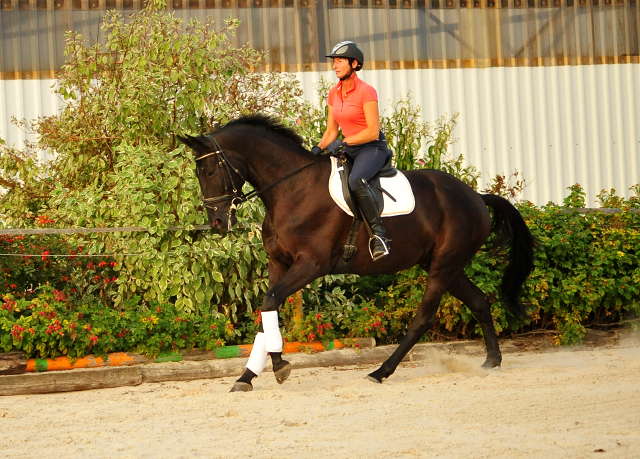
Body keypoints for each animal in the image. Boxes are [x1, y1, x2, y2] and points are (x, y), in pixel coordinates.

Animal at [178, 115, 536, 392]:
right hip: (445, 265)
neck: (291, 188)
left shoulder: (311, 264)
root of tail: (476, 196)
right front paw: (247, 376)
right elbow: (268, 311)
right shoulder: (278, 263)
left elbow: (270, 301)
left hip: (443, 267)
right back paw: (492, 361)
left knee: (423, 318)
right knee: (480, 302)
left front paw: (279, 366)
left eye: (209, 171)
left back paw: (380, 372)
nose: (218, 222)